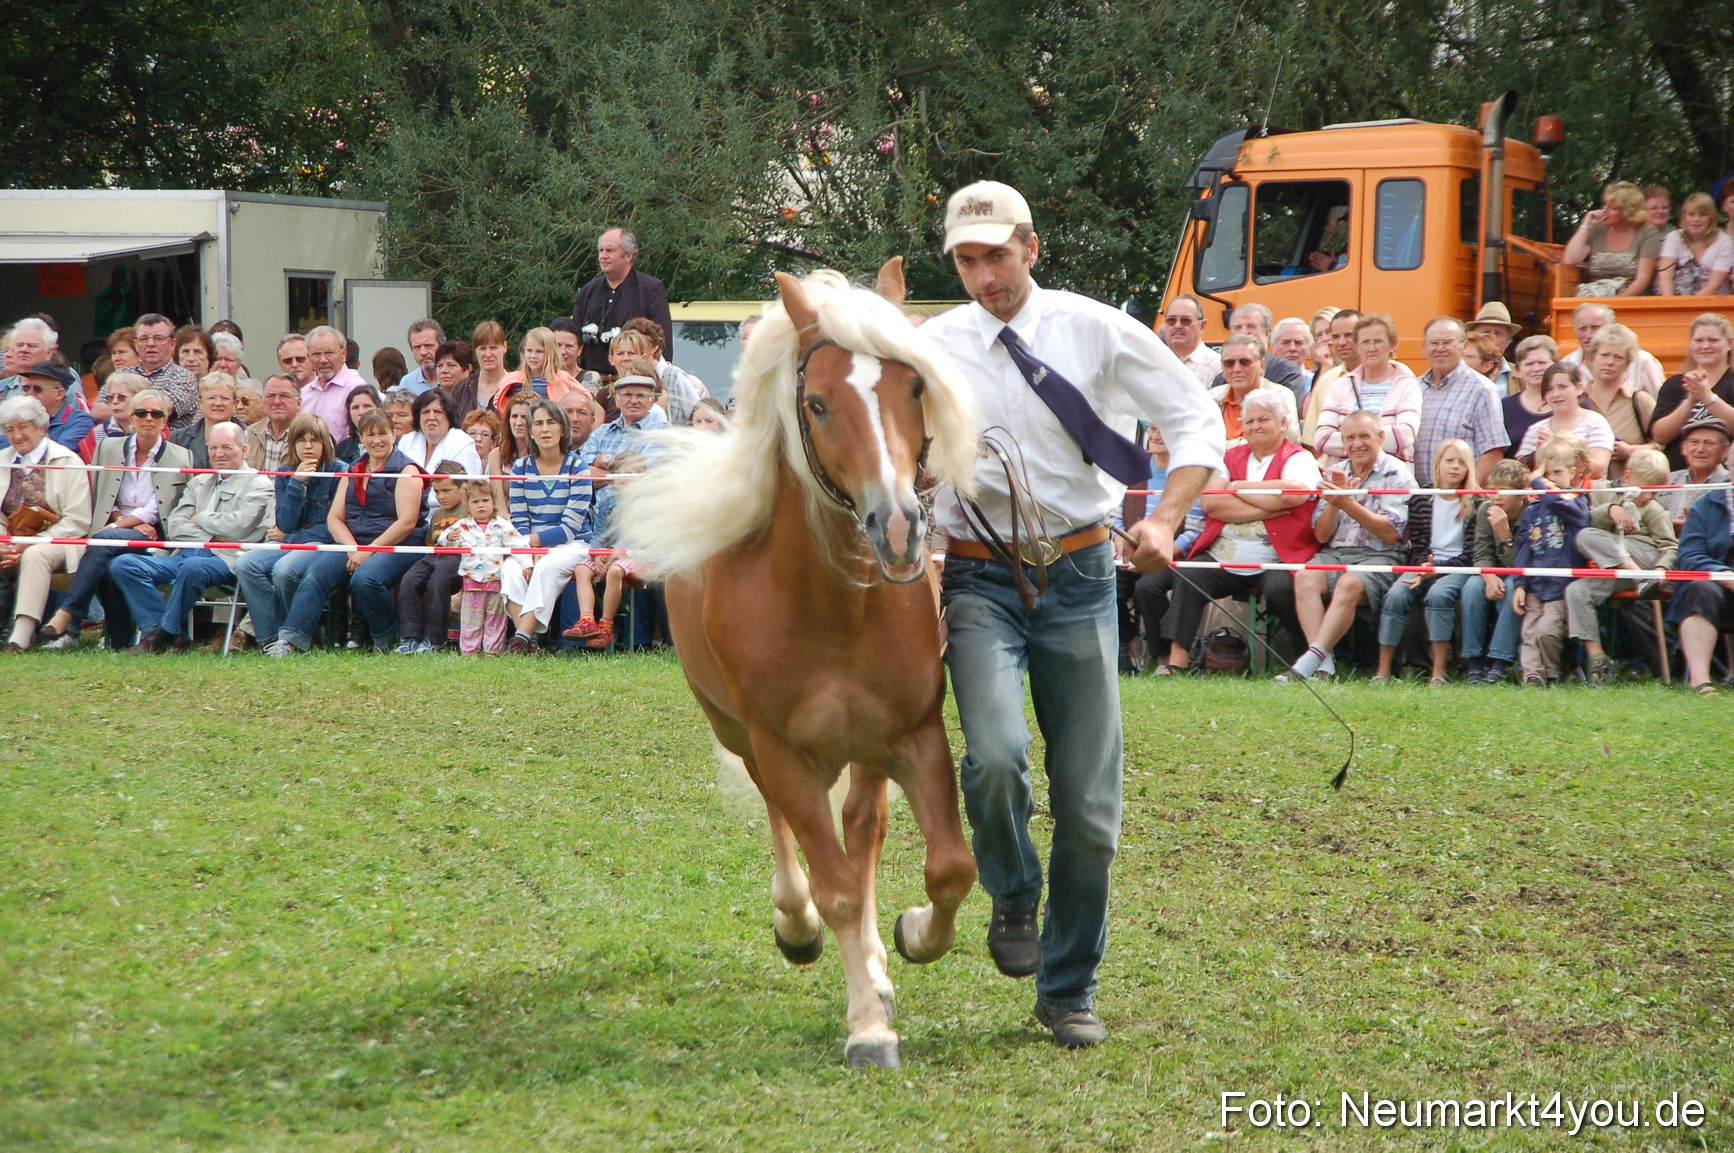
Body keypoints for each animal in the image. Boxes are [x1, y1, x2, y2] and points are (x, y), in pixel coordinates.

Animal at [617, 261, 981, 1068]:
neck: (832, 605)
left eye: (914, 386)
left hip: (865, 751)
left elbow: (948, 865)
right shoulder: (782, 749)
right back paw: (799, 925)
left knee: (864, 828)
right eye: (817, 403)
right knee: (789, 827)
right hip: (742, 735)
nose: (900, 528)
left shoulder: (914, 737)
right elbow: (835, 884)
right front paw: (869, 1024)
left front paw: (909, 940)